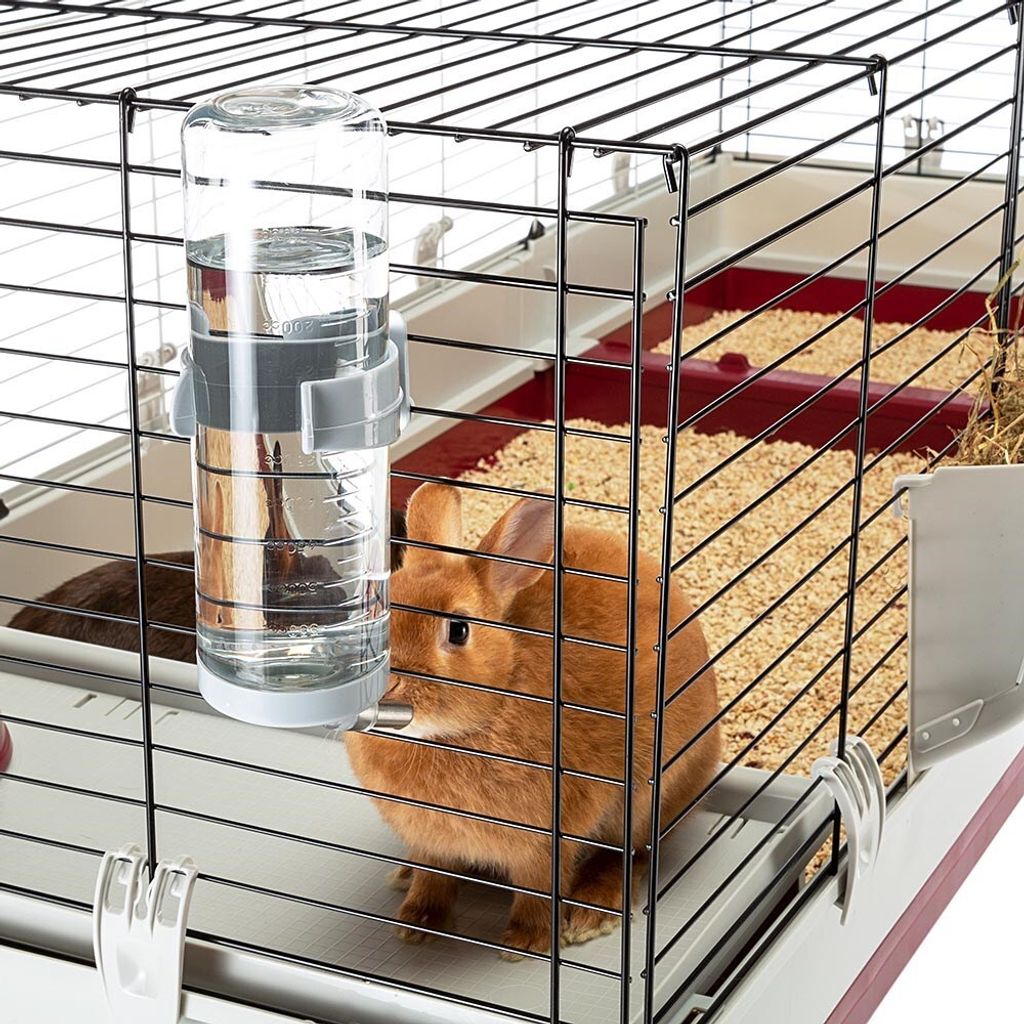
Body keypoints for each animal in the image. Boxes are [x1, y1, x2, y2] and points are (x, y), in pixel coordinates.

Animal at [344, 483, 721, 958]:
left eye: (458, 630)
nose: (384, 684)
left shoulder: (548, 839)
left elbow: (538, 887)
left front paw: (527, 942)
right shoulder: (432, 842)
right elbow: (434, 873)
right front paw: (417, 924)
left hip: (646, 801)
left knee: (631, 855)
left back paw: (591, 913)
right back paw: (403, 874)